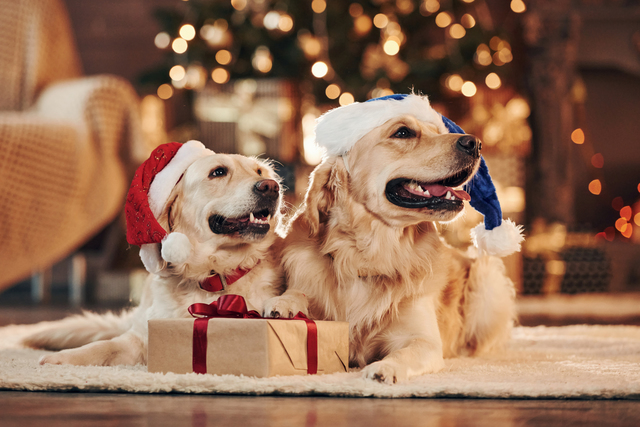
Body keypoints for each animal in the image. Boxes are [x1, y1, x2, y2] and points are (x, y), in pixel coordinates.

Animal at [24, 141, 284, 368]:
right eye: (218, 172)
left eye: (259, 171)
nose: (271, 187)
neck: (211, 275)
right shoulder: (138, 338)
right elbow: (103, 346)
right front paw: (62, 358)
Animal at [262, 93, 524, 384]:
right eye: (403, 132)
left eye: (438, 132)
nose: (475, 143)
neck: (370, 253)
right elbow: (300, 293)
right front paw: (284, 302)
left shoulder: (424, 340)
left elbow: (405, 353)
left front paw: (384, 368)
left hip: (486, 276)